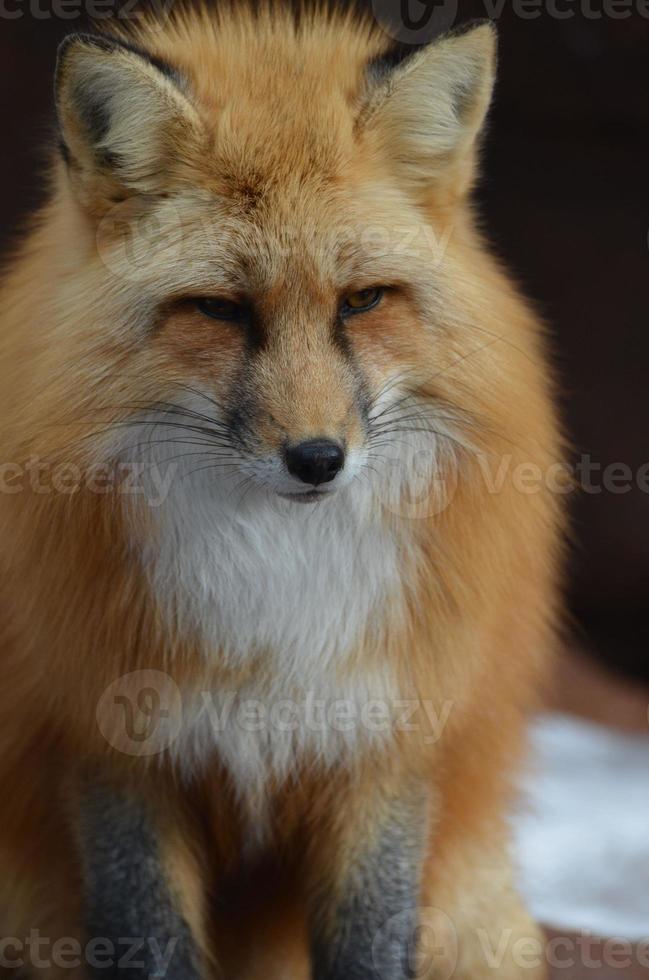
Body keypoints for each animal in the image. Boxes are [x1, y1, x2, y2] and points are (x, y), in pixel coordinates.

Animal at [0, 3, 560, 976]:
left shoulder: (386, 737)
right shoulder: (108, 741)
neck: (275, 590)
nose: (316, 459)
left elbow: (369, 937)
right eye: (221, 310)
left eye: (362, 301)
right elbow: (149, 935)